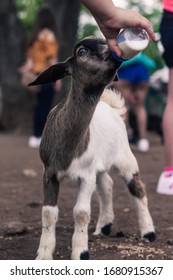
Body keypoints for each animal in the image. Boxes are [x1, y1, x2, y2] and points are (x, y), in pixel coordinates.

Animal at [29, 37, 155, 260]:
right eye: (82, 51)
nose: (116, 55)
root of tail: (111, 107)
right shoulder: (49, 173)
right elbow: (48, 213)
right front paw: (43, 255)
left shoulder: (85, 175)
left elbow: (81, 212)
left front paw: (81, 253)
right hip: (99, 164)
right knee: (107, 185)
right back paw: (103, 227)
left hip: (125, 157)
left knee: (137, 188)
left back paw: (148, 232)